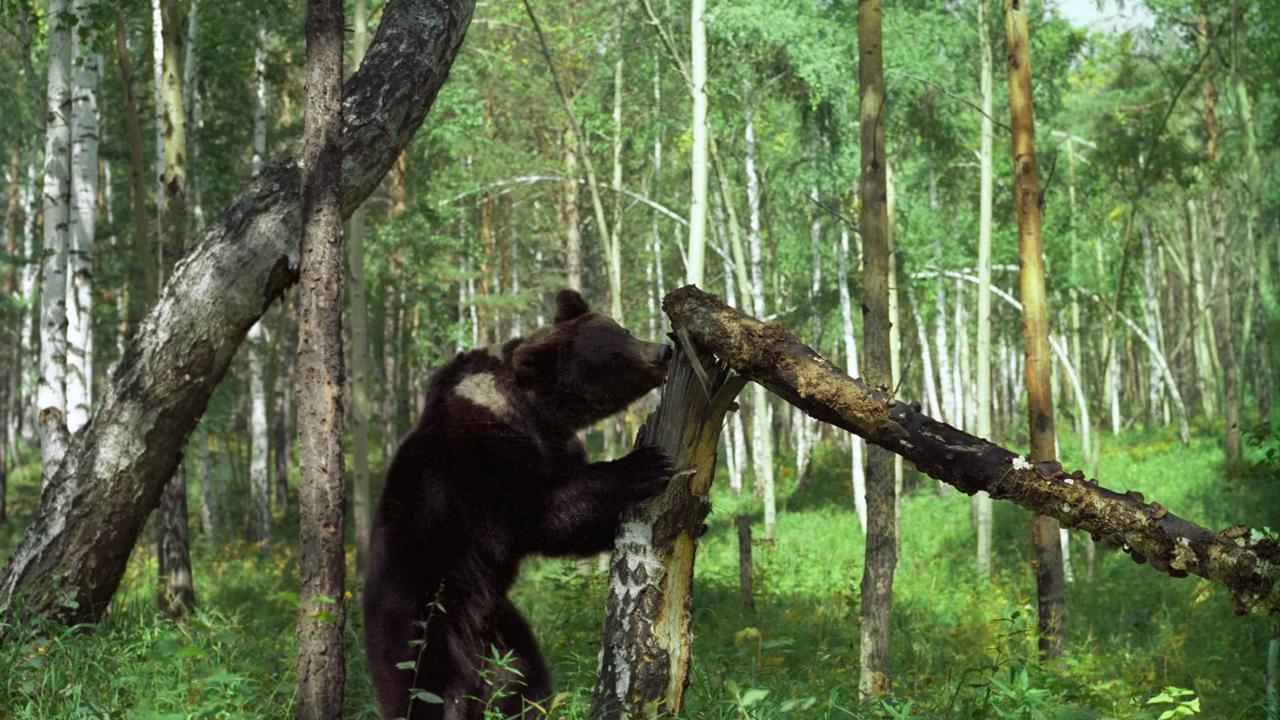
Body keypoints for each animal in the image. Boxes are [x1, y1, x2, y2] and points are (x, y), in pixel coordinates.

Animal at [363, 289, 674, 720]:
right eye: (612, 355)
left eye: (622, 330)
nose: (662, 350)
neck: (533, 413)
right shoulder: (480, 461)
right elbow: (537, 515)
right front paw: (644, 464)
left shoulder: (554, 445)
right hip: (422, 621)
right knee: (423, 691)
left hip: (500, 627)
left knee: (522, 678)